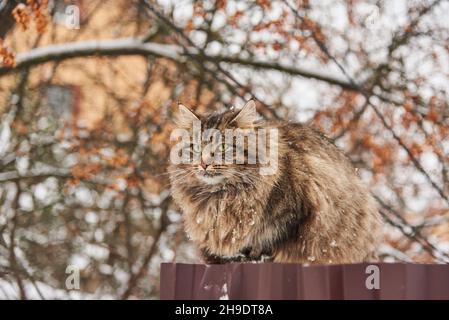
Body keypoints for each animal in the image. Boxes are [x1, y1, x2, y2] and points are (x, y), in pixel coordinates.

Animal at [169, 100, 382, 264]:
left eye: (223, 147)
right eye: (195, 148)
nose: (203, 163)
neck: (221, 197)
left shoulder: (294, 212)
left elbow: (269, 237)